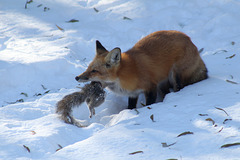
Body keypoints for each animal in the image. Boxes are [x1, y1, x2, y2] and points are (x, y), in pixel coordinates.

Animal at [75, 30, 208, 109]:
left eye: (94, 71)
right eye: (88, 68)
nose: (77, 77)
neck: (124, 75)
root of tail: (189, 39)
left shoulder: (150, 87)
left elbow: (149, 103)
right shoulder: (133, 94)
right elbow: (131, 107)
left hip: (175, 75)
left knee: (178, 87)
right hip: (163, 82)